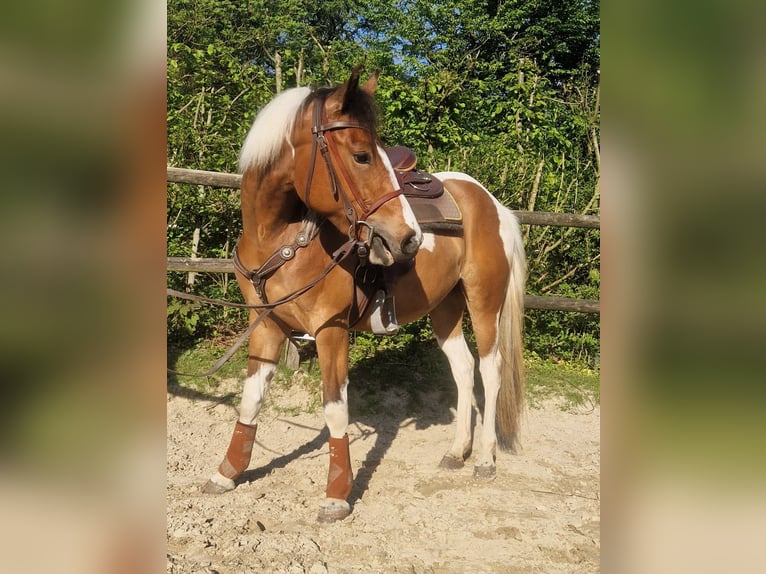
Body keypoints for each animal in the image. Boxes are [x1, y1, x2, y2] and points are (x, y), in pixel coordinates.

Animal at [201, 66, 527, 523]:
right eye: (361, 156)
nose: (410, 239)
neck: (280, 239)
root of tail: (492, 203)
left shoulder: (331, 329)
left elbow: (335, 409)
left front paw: (337, 494)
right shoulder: (266, 324)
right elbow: (250, 402)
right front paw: (227, 472)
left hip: (483, 303)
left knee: (489, 370)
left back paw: (483, 459)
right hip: (445, 308)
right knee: (462, 369)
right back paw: (456, 451)